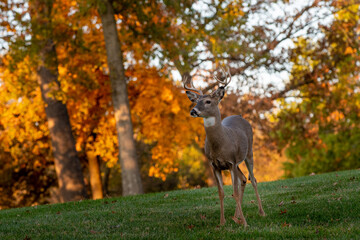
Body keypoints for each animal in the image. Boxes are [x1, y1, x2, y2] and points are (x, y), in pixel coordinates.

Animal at [184, 67, 266, 227]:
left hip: (249, 152)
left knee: (253, 179)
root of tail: (240, 116)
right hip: (238, 162)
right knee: (243, 179)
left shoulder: (231, 162)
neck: (219, 146)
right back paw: (236, 217)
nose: (193, 111)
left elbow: (234, 192)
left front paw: (245, 224)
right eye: (196, 101)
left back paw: (261, 212)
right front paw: (222, 222)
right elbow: (221, 193)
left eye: (208, 101)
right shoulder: (215, 165)